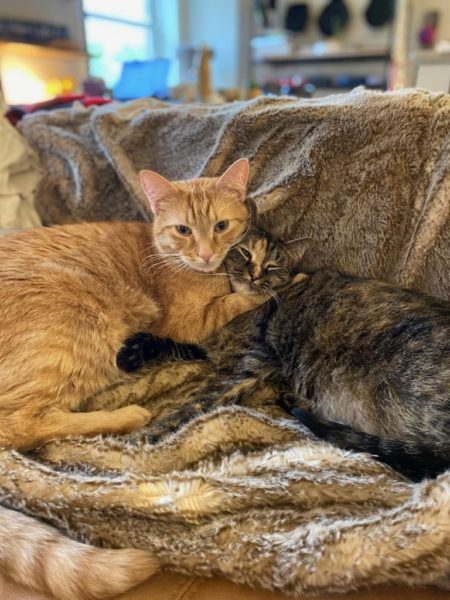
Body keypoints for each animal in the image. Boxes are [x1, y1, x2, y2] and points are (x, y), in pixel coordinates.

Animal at [124, 228, 450, 481]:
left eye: (271, 267)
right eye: (244, 252)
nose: (254, 274)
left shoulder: (247, 365)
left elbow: (194, 403)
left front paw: (141, 437)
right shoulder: (211, 348)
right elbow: (176, 345)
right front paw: (134, 350)